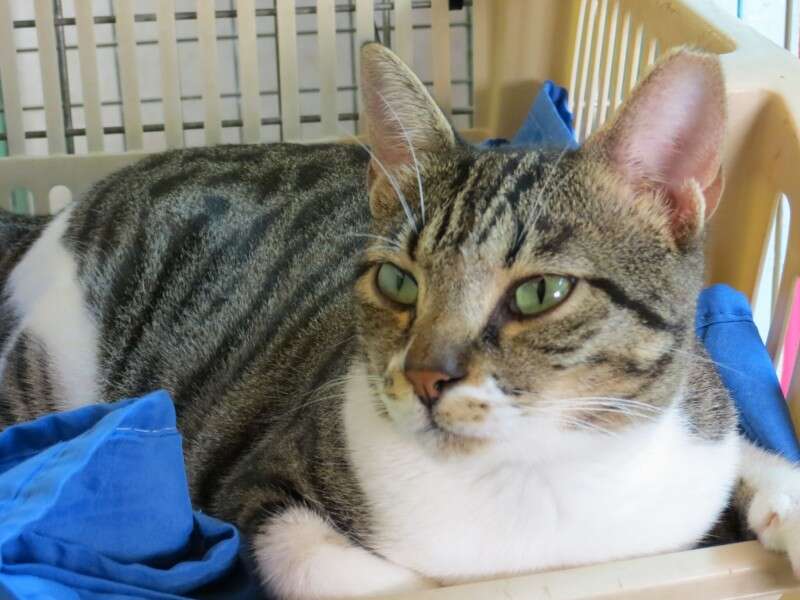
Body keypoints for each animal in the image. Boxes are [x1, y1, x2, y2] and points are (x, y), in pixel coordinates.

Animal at [2, 42, 800, 599]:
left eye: (540, 293)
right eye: (398, 281)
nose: (424, 375)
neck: (533, 479)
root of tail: (54, 216)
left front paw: (783, 501)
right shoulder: (260, 489)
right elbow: (336, 568)